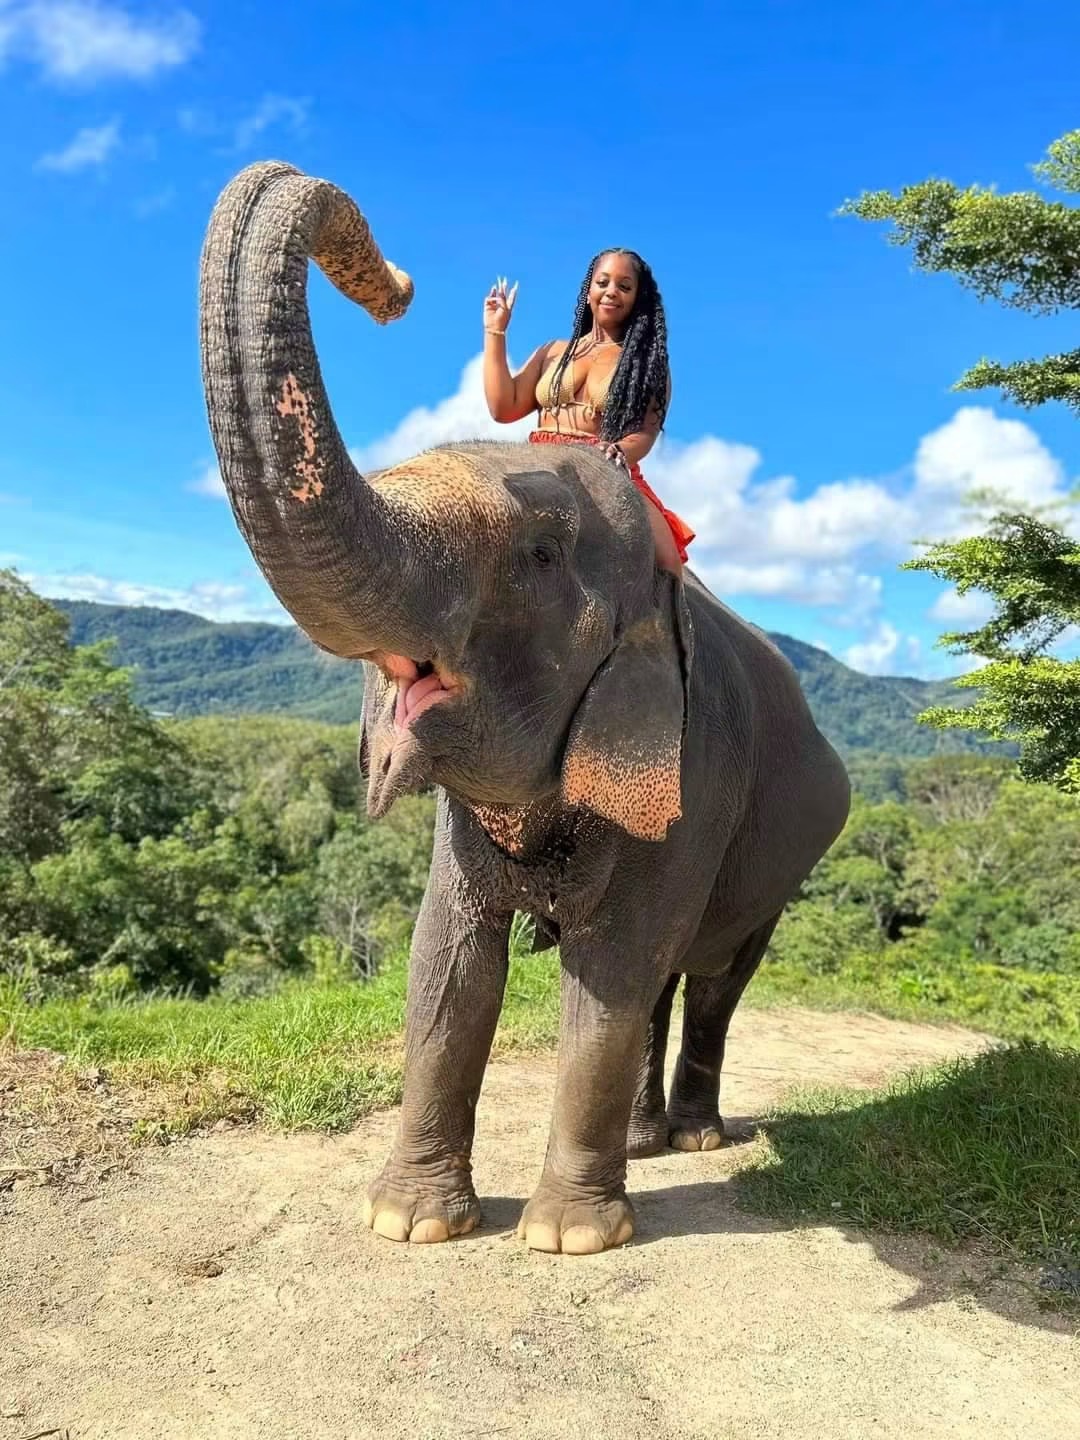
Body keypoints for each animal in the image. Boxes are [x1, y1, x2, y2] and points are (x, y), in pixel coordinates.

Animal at [199, 161, 851, 1255]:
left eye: (540, 554)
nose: (394, 287)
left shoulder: (696, 770)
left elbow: (608, 973)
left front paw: (567, 1241)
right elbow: (447, 966)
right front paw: (409, 1223)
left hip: (789, 858)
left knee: (714, 977)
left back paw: (696, 1140)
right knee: (668, 982)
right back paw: (645, 1143)